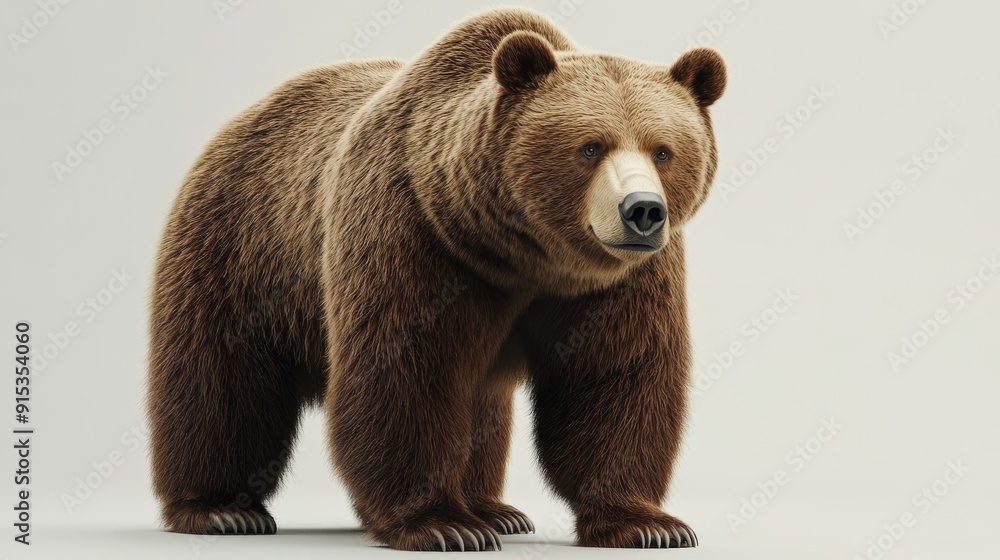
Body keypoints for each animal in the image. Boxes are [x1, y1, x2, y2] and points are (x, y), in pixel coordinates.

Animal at [146, 7, 725, 552]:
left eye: (663, 150)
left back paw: (495, 510)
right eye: (590, 146)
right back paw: (220, 509)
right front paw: (442, 525)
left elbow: (614, 377)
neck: (523, 254)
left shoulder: (616, 283)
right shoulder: (417, 236)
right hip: (242, 249)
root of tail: (240, 119)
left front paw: (648, 524)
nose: (643, 211)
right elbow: (407, 372)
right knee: (221, 378)